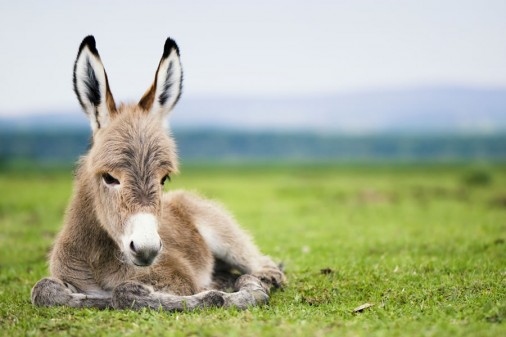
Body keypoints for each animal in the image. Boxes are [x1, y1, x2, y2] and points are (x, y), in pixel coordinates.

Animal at [30, 36, 284, 310]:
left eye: (164, 178)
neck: (98, 260)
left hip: (229, 241)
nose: (147, 249)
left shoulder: (178, 279)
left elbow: (125, 291)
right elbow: (43, 289)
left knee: (266, 268)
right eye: (109, 177)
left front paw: (224, 295)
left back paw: (255, 282)